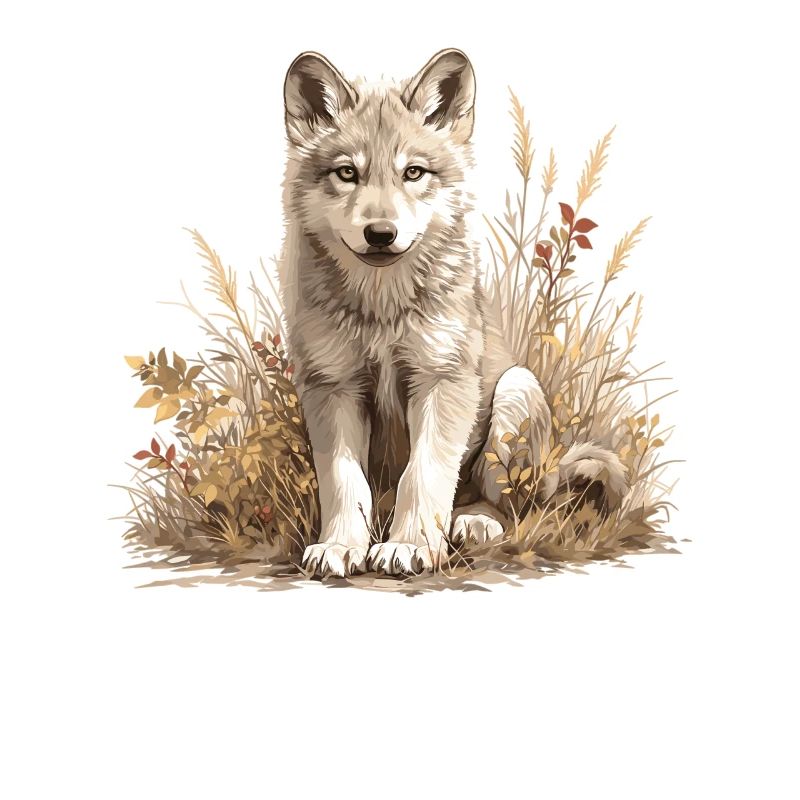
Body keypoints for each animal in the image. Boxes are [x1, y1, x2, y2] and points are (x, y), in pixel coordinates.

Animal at [279, 48, 626, 577]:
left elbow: (423, 474)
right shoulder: (332, 386)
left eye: (413, 173)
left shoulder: (442, 380)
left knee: (509, 507)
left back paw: (474, 522)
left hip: (515, 392)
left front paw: (409, 546)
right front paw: (340, 546)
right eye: (347, 173)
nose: (380, 233)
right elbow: (343, 482)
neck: (383, 309)